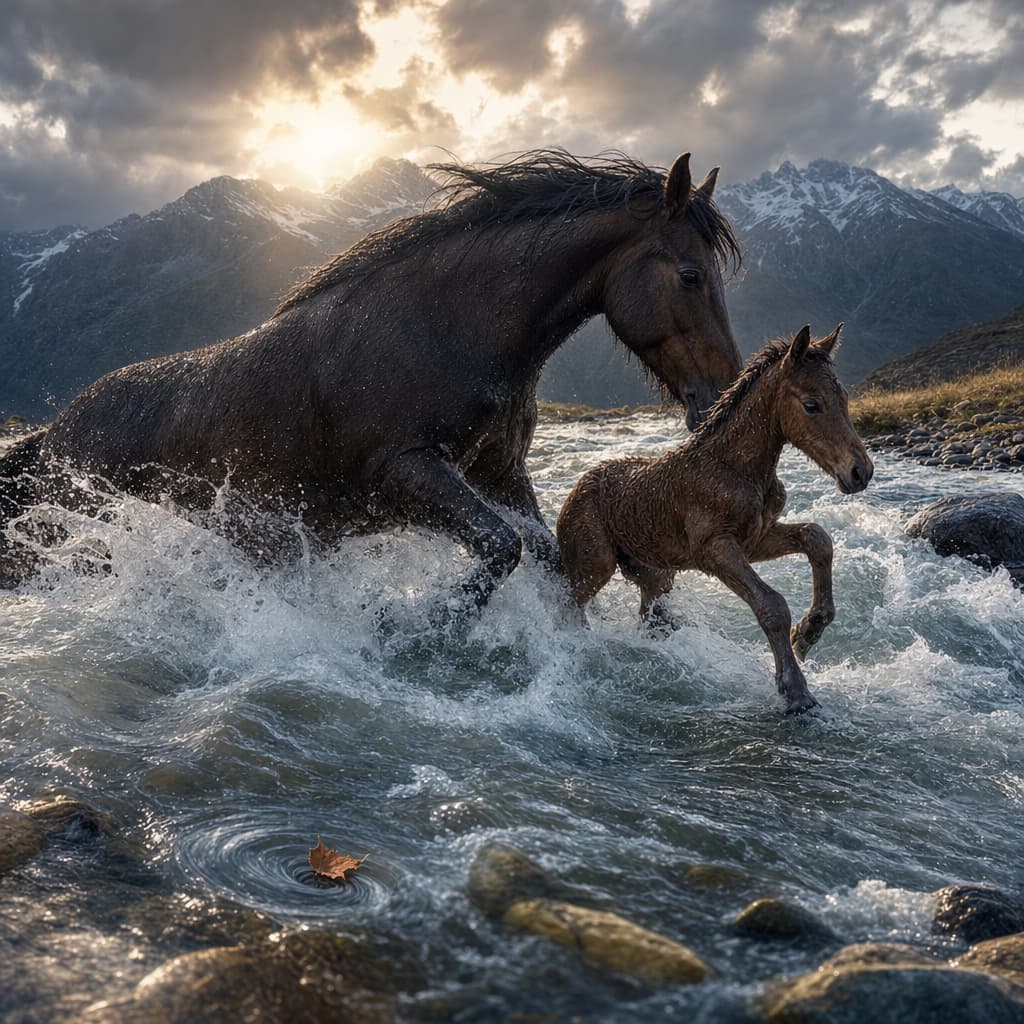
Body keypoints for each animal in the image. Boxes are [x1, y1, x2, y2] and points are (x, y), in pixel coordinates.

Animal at [0, 149, 743, 616]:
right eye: (690, 274)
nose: (720, 399)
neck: (446, 325)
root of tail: (57, 432)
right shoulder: (406, 470)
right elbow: (499, 550)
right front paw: (420, 633)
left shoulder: (500, 473)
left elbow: (544, 557)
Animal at [556, 324, 873, 714]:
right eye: (812, 404)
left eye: (843, 397)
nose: (860, 472)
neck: (734, 467)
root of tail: (576, 488)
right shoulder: (714, 549)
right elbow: (771, 605)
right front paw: (796, 692)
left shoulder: (756, 540)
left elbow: (817, 537)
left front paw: (809, 631)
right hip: (594, 566)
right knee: (569, 606)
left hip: (655, 574)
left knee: (652, 616)